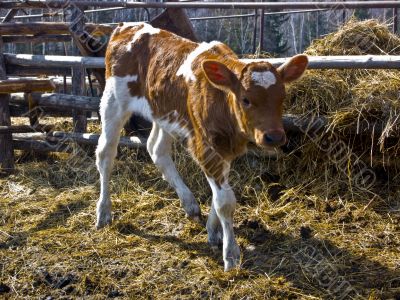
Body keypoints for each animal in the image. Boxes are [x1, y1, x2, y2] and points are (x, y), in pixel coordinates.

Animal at [95, 22, 308, 272]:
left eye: (282, 97)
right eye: (245, 99)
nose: (274, 137)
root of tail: (127, 26)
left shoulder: (225, 148)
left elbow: (218, 195)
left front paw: (213, 232)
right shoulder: (205, 146)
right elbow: (225, 201)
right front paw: (231, 254)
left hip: (162, 112)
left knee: (156, 149)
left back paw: (189, 204)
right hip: (113, 102)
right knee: (105, 155)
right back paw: (103, 212)